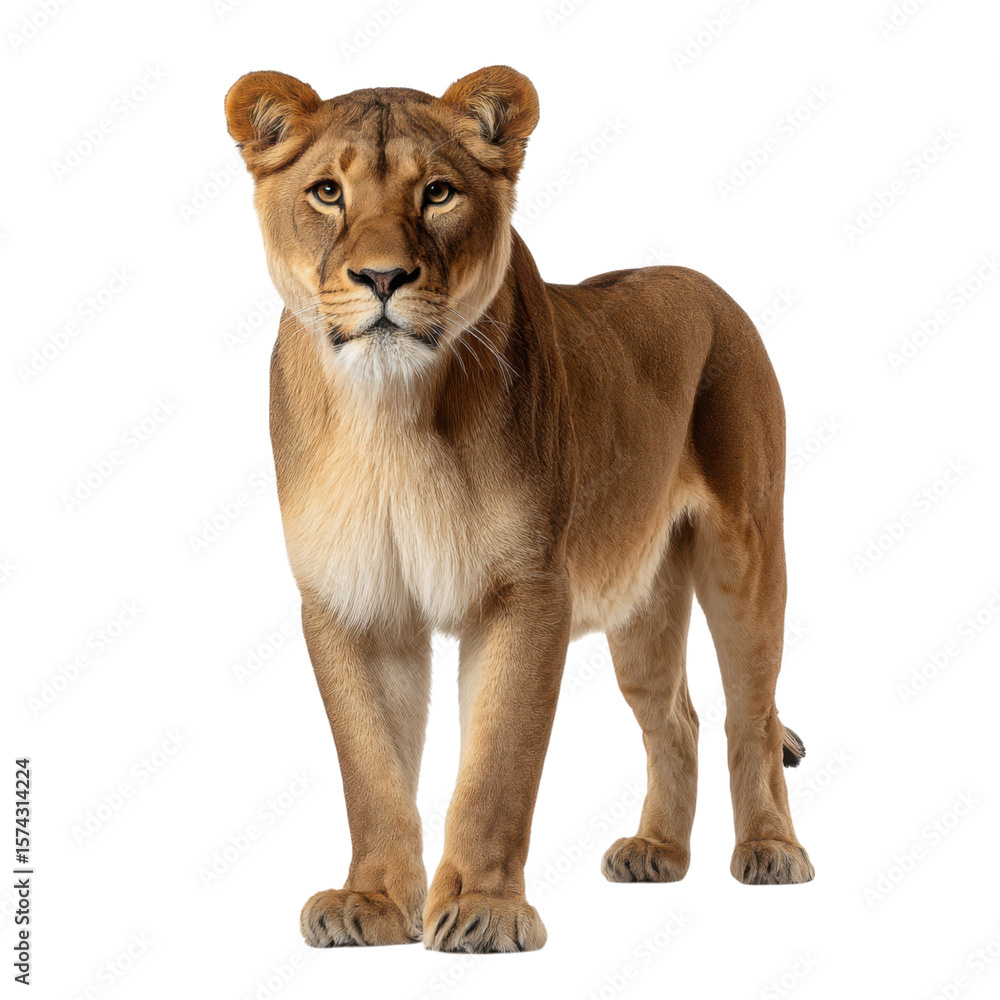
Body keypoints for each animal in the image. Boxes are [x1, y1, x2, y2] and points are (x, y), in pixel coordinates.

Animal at [224, 64, 814, 954]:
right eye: (327, 192)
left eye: (437, 193)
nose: (383, 279)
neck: (389, 414)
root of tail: (705, 283)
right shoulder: (350, 601)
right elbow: (371, 769)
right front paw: (370, 903)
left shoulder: (527, 588)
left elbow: (499, 763)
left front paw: (485, 909)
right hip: (642, 594)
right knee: (674, 718)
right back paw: (656, 853)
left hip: (746, 551)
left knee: (752, 712)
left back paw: (773, 851)